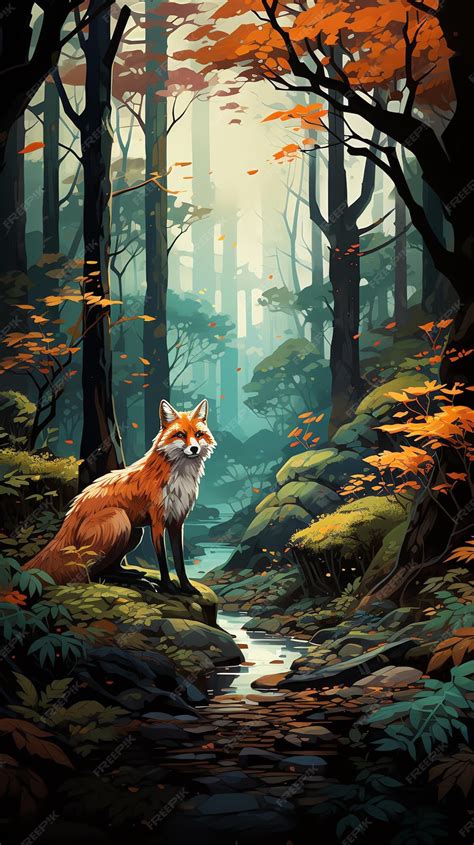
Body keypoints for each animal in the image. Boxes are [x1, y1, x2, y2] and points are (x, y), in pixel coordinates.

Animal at [23, 399, 216, 594]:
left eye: (198, 434)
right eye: (180, 434)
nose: (194, 448)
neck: (179, 478)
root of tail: (72, 514)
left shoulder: (177, 521)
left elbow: (179, 560)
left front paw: (187, 587)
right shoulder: (157, 522)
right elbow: (162, 559)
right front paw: (168, 587)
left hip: (135, 531)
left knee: (110, 568)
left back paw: (134, 575)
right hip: (119, 520)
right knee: (90, 574)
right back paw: (140, 582)